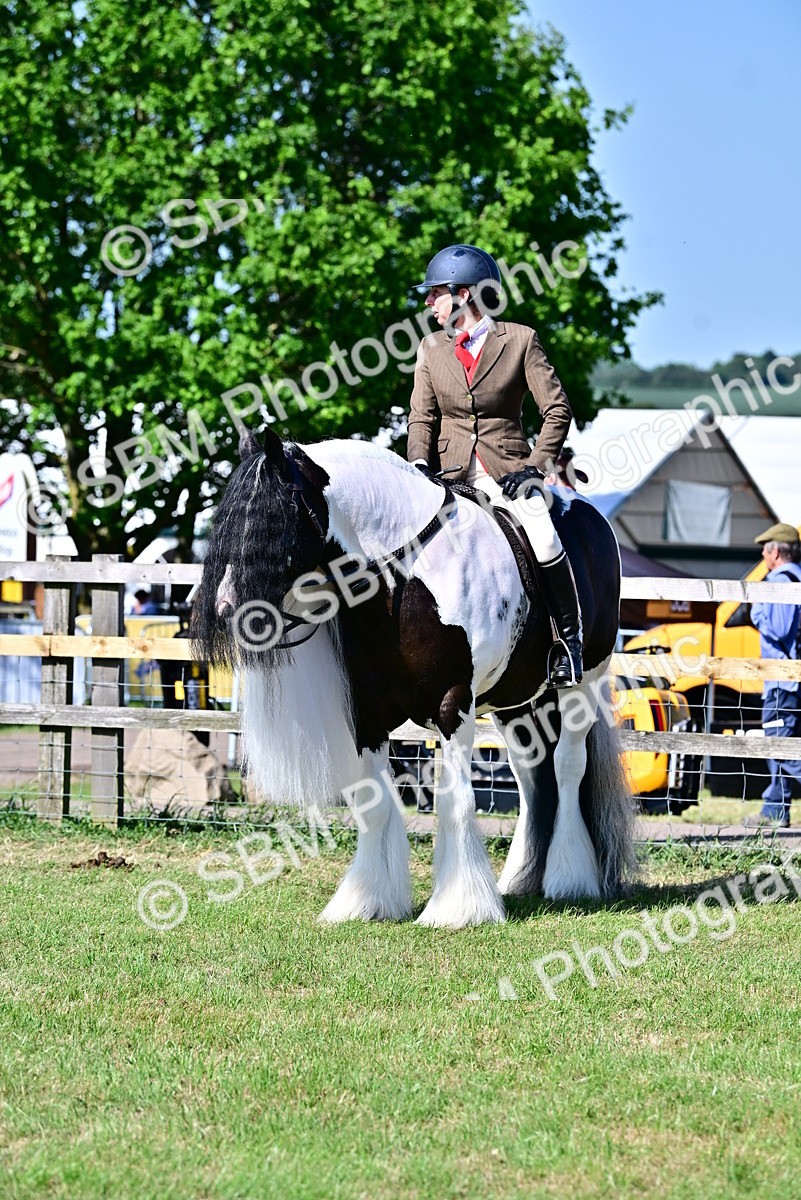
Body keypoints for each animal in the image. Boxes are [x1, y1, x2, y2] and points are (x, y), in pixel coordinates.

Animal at [192, 428, 635, 929]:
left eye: (273, 514)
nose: (226, 608)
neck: (404, 577)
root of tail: (590, 515)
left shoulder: (452, 704)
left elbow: (454, 800)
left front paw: (458, 907)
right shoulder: (367, 713)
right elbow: (374, 802)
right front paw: (366, 901)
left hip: (583, 683)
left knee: (567, 765)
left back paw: (569, 879)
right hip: (518, 703)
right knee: (532, 778)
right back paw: (520, 880)